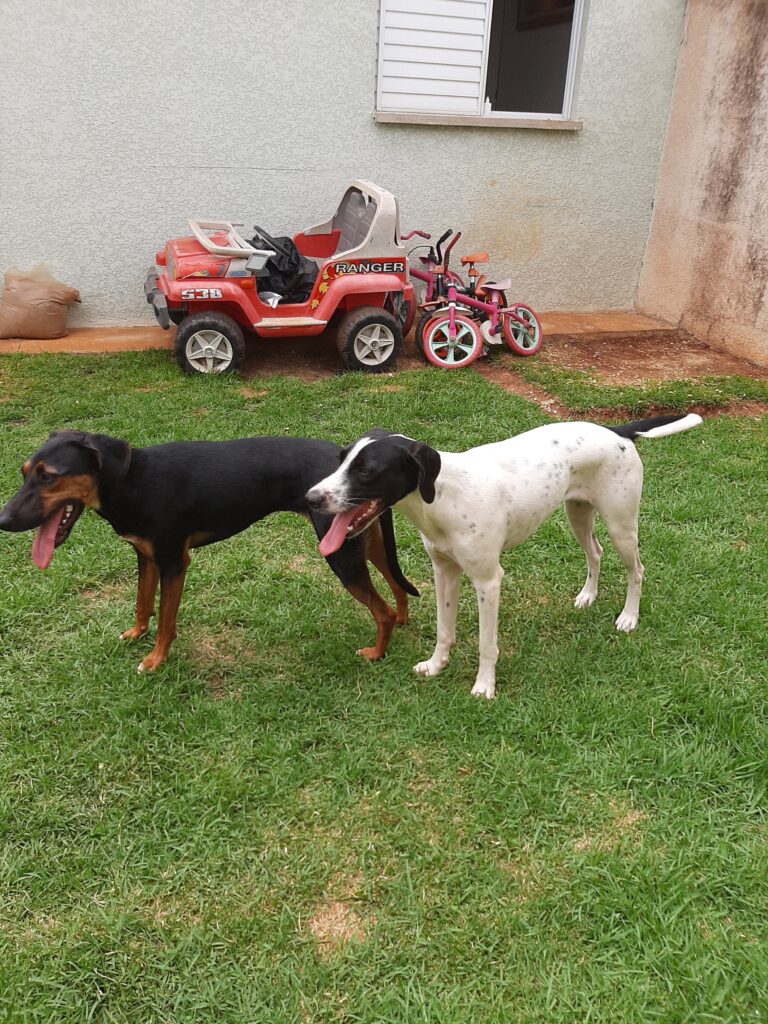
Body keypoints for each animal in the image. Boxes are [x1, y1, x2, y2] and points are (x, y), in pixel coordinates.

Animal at [0, 430, 417, 671]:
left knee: (380, 610)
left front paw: (155, 660)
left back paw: (376, 653)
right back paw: (401, 621)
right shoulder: (146, 556)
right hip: (366, 542)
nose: (3, 519)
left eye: (48, 476)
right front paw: (136, 633)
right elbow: (142, 602)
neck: (134, 481)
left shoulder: (174, 562)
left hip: (342, 556)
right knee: (399, 588)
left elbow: (166, 620)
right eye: (24, 472)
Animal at [307, 413, 704, 696]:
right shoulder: (444, 571)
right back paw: (588, 595)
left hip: (621, 524)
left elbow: (487, 644)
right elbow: (444, 628)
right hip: (578, 514)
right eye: (340, 459)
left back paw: (629, 617)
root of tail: (615, 431)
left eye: (366, 471)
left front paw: (484, 686)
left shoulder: (487, 581)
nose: (311, 498)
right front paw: (436, 665)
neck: (444, 496)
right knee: (595, 552)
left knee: (637, 570)